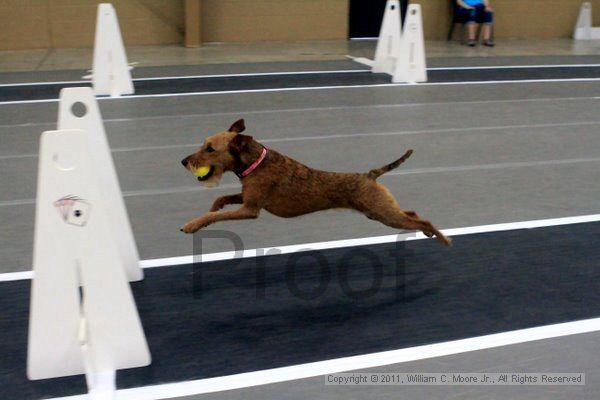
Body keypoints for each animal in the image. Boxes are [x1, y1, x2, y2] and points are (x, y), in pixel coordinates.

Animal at [180, 119, 452, 245]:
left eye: (210, 149)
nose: (184, 161)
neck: (256, 161)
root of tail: (370, 174)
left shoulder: (250, 209)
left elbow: (215, 216)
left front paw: (193, 224)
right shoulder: (248, 198)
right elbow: (221, 200)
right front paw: (212, 208)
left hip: (383, 213)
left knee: (421, 219)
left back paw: (442, 238)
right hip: (378, 211)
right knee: (412, 214)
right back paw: (428, 232)